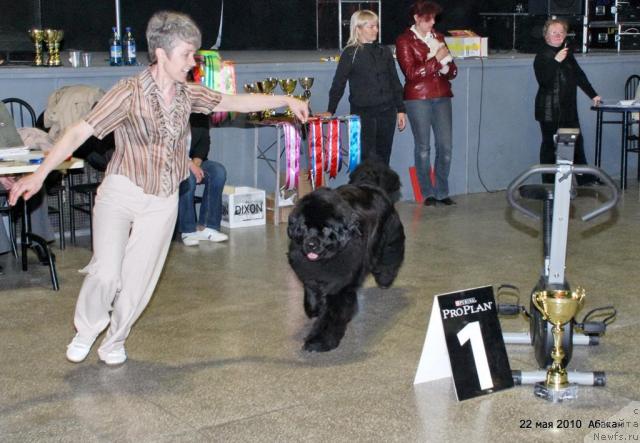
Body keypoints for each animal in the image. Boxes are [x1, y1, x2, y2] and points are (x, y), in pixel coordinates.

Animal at [286, 161, 404, 352]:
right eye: (304, 226)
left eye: (326, 228)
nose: (311, 244)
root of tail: (371, 185)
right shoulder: (310, 273)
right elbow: (311, 291)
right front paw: (314, 308)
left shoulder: (339, 287)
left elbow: (331, 315)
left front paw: (318, 341)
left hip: (390, 235)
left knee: (390, 257)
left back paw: (385, 280)